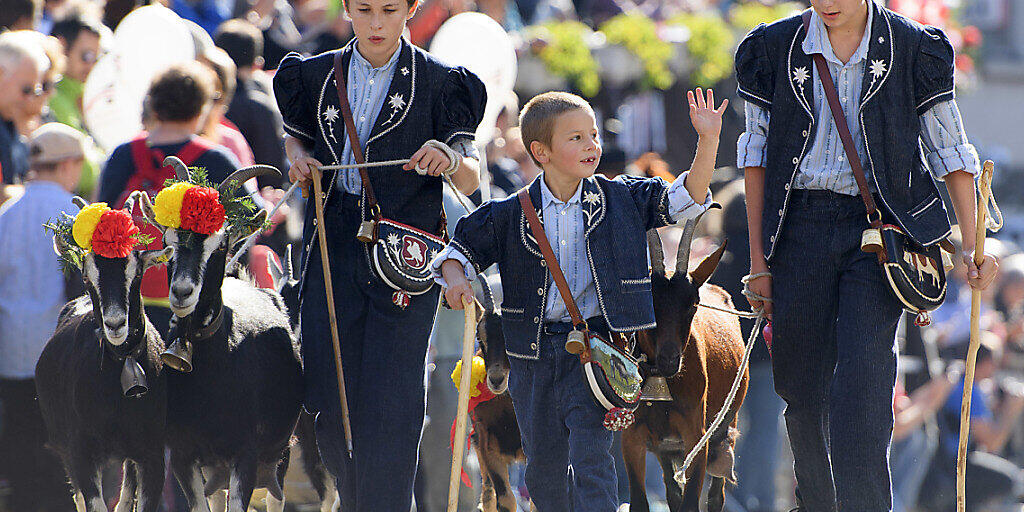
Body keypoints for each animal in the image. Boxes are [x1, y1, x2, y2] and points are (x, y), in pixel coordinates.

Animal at [140, 159, 301, 512]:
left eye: (221, 243)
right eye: (166, 240)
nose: (182, 292)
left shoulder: (246, 453)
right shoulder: (183, 453)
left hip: (278, 453)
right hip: (215, 466)